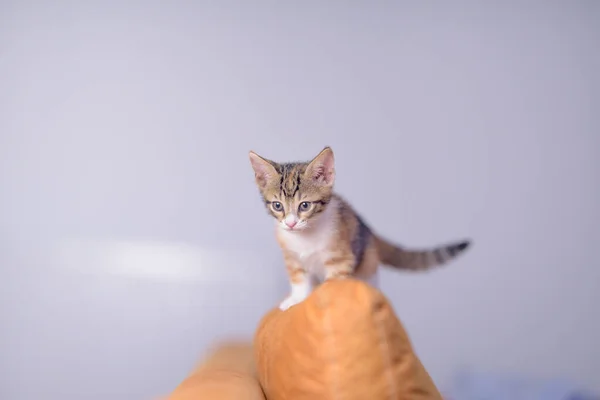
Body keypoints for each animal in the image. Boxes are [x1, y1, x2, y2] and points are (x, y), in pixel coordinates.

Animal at [248, 145, 474, 310]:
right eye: (278, 206)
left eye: (304, 205)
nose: (291, 223)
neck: (305, 237)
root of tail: (369, 229)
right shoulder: (292, 257)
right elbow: (299, 280)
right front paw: (296, 299)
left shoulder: (341, 258)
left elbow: (333, 282)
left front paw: (324, 300)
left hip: (367, 265)